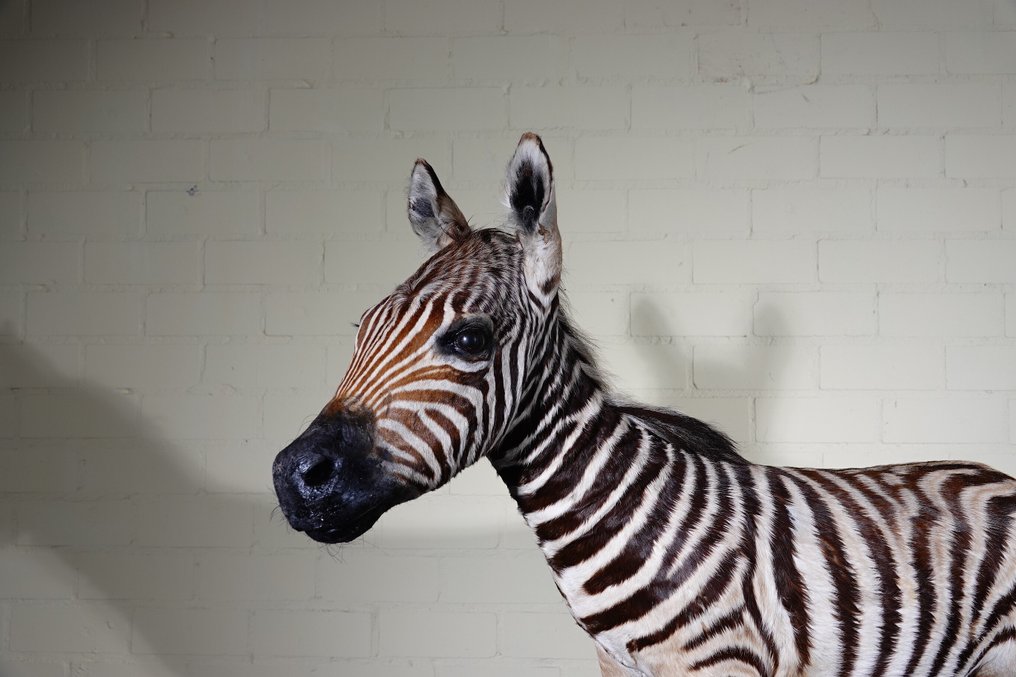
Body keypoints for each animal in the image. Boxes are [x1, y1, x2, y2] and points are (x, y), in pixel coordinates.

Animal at [272, 133, 1016, 677]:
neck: (629, 514)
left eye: (468, 339)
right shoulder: (615, 665)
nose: (292, 477)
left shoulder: (722, 665)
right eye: (363, 327)